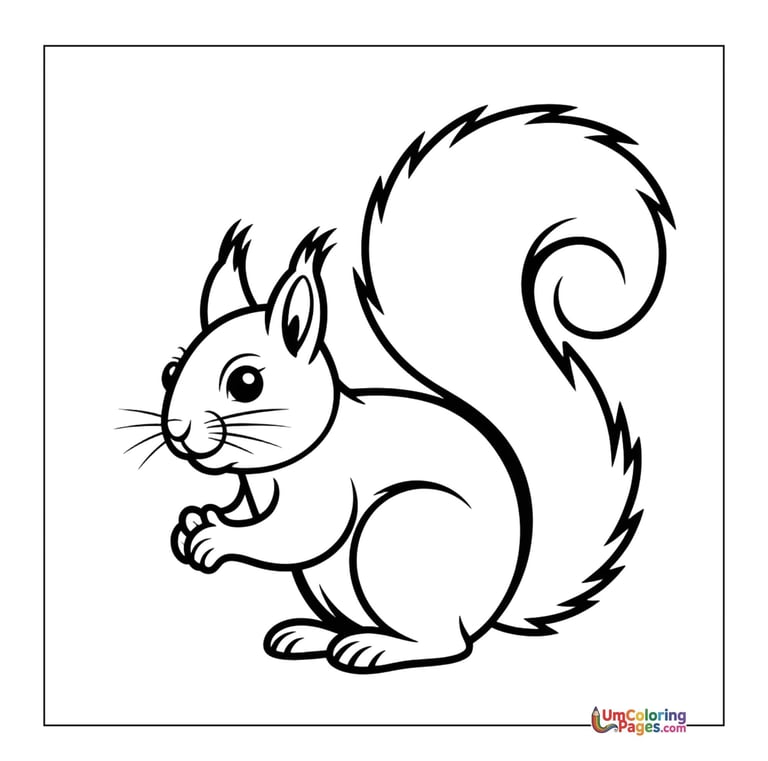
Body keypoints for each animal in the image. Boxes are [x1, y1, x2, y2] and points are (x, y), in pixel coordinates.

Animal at [153, 105, 672, 674]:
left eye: (246, 383)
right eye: (170, 371)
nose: (178, 431)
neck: (282, 463)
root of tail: (492, 608)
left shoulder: (327, 489)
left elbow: (298, 533)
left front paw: (215, 538)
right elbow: (249, 513)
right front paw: (201, 519)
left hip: (399, 536)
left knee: (448, 644)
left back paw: (375, 647)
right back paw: (313, 634)